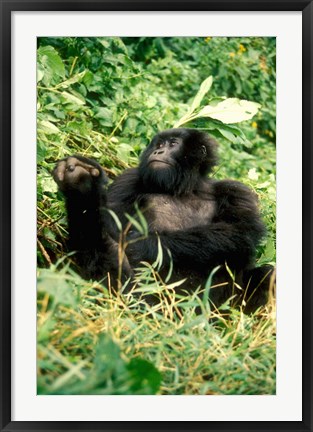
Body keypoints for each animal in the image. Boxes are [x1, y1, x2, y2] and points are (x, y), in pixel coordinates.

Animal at [52, 127, 272, 310]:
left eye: (173, 144)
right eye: (158, 145)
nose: (157, 152)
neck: (184, 187)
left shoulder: (237, 192)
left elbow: (239, 233)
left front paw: (143, 245)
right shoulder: (127, 180)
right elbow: (111, 226)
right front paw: (83, 189)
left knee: (268, 273)